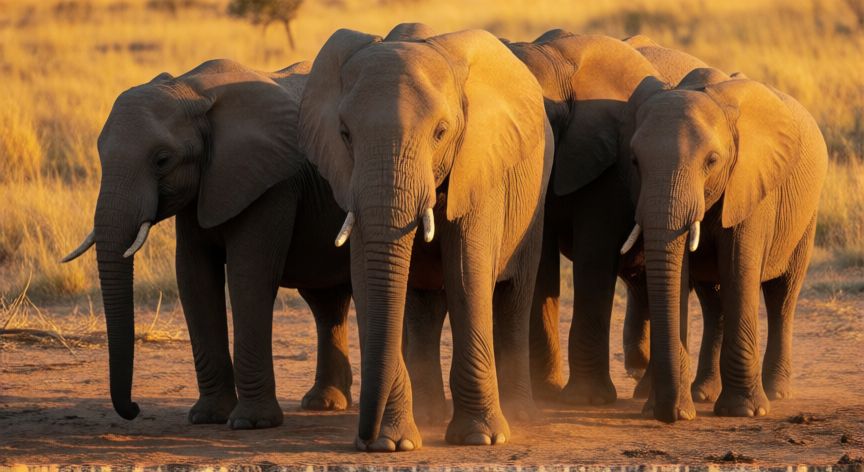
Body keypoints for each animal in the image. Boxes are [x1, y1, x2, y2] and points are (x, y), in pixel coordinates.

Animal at [61, 59, 354, 429]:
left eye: (162, 160)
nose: (135, 408)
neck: (193, 91)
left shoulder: (271, 184)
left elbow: (249, 277)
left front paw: (251, 423)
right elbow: (194, 278)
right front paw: (208, 416)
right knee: (326, 302)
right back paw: (324, 403)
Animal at [299, 25, 552, 451]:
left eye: (440, 132)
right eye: (345, 134)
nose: (362, 439)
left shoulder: (479, 165)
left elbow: (468, 276)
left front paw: (482, 438)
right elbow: (366, 280)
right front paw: (393, 443)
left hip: (534, 198)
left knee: (514, 294)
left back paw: (521, 415)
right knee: (423, 308)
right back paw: (431, 414)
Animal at [620, 68, 827, 422]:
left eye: (712, 161)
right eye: (634, 161)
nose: (670, 414)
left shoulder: (753, 184)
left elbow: (738, 271)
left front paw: (744, 411)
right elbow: (679, 274)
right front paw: (669, 408)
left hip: (806, 214)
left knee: (782, 296)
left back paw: (776, 391)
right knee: (713, 302)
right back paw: (702, 393)